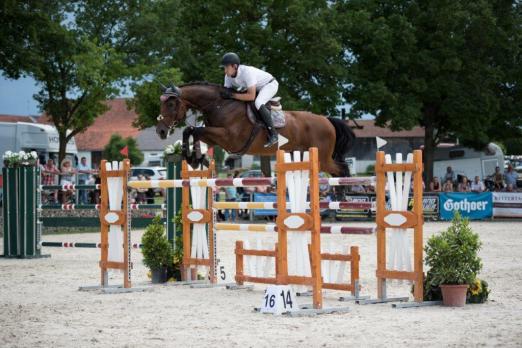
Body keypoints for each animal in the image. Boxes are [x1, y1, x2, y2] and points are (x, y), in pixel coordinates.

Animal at [156, 80, 356, 175]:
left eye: (171, 104)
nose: (161, 131)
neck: (219, 104)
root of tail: (327, 120)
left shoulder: (228, 138)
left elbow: (195, 130)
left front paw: (194, 158)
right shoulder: (214, 137)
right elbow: (190, 131)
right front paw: (194, 158)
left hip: (322, 158)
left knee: (342, 169)